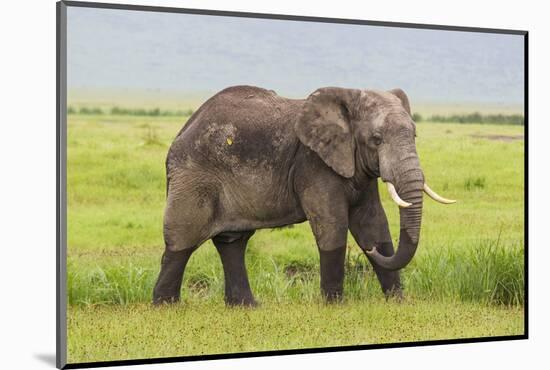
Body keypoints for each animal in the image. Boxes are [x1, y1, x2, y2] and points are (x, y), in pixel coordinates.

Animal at [152, 85, 458, 304]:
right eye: (377, 139)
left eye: (415, 135)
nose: (370, 253)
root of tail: (181, 131)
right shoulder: (313, 163)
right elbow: (333, 225)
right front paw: (334, 305)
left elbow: (373, 224)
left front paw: (397, 302)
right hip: (194, 176)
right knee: (182, 240)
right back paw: (166, 306)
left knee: (232, 242)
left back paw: (247, 306)